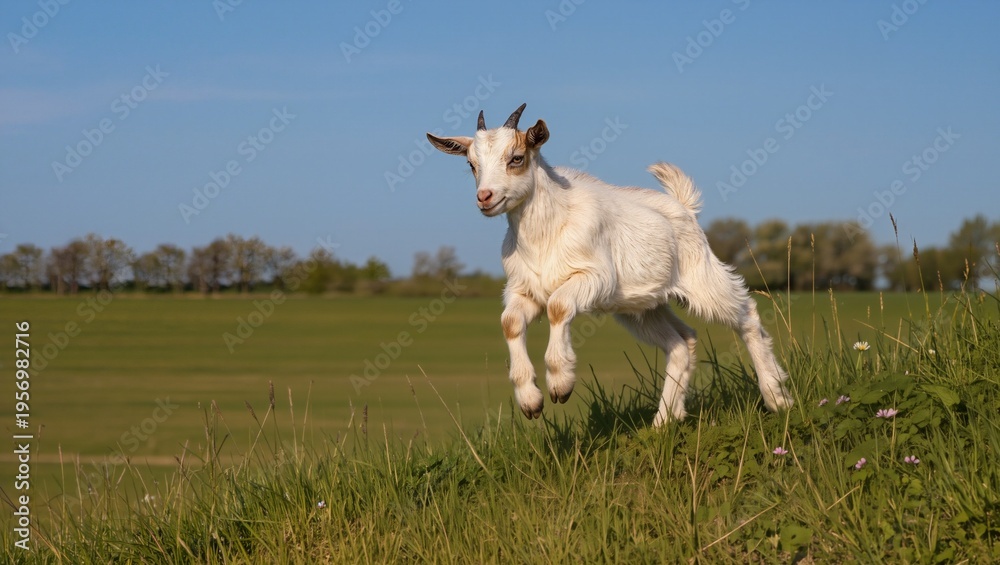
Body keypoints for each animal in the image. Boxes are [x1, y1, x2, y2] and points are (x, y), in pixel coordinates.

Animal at [427, 103, 793, 426]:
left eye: (516, 158)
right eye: (472, 164)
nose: (485, 197)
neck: (545, 233)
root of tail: (684, 207)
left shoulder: (595, 278)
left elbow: (558, 307)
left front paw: (560, 384)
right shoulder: (523, 290)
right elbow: (510, 323)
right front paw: (530, 401)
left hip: (701, 277)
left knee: (747, 317)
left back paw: (777, 398)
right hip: (641, 307)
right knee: (681, 341)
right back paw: (664, 422)